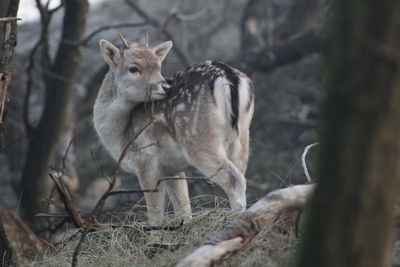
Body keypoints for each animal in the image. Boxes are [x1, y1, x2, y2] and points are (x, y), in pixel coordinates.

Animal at [94, 36, 255, 228]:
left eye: (159, 66)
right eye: (133, 68)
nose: (165, 87)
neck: (121, 134)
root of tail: (228, 77)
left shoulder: (144, 159)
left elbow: (155, 215)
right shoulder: (172, 168)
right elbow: (184, 210)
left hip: (198, 139)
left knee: (234, 179)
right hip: (242, 137)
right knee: (242, 174)